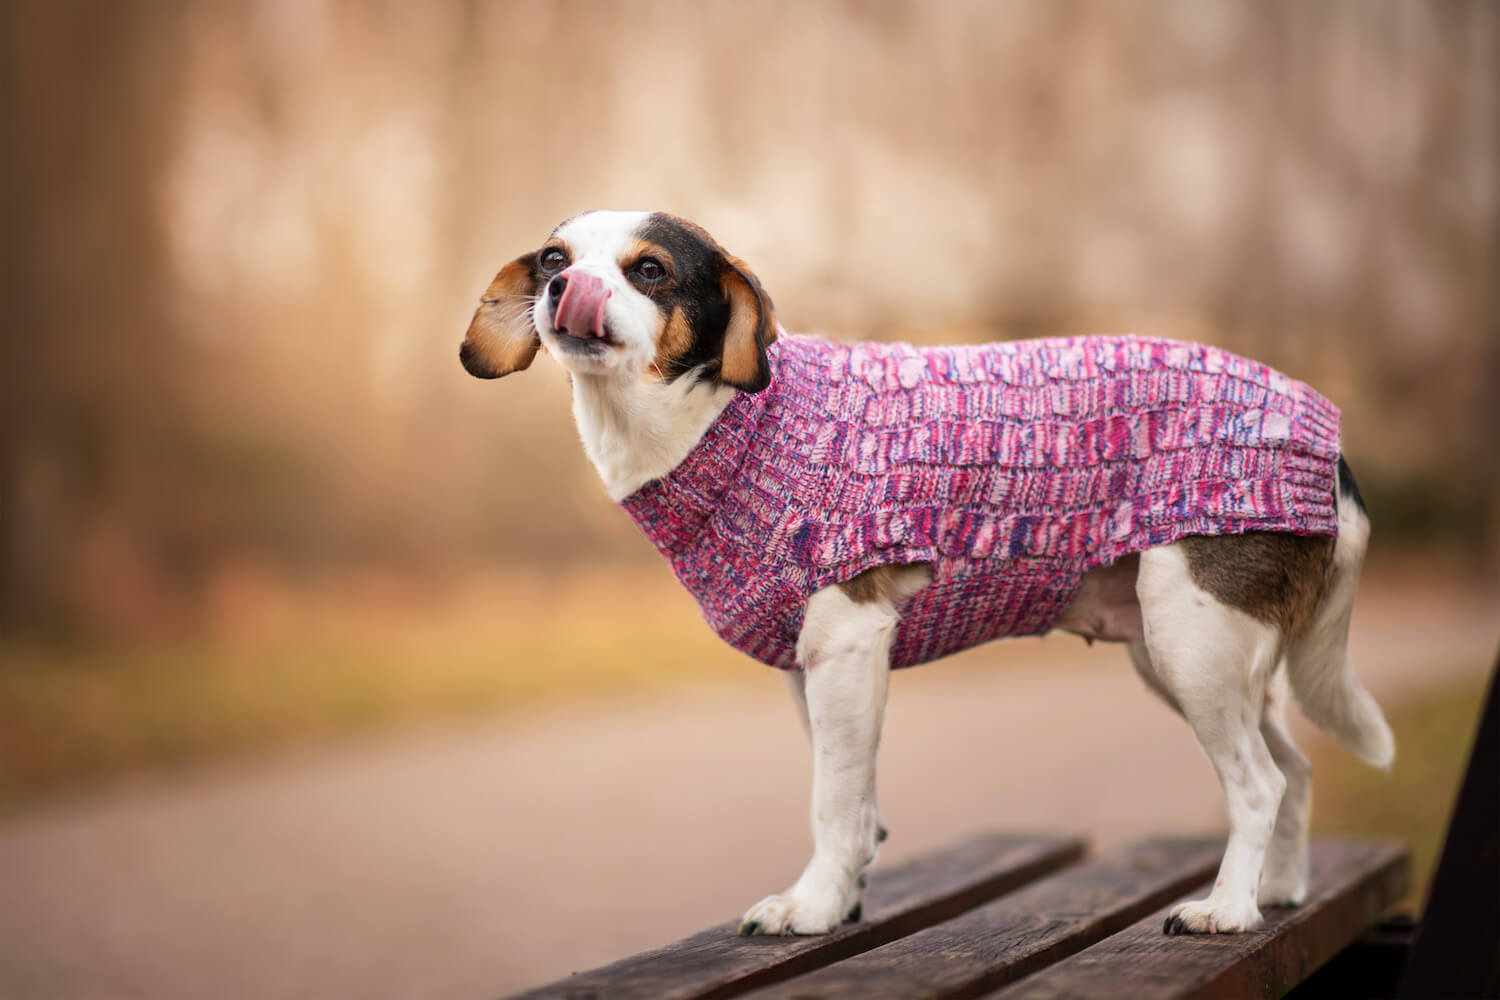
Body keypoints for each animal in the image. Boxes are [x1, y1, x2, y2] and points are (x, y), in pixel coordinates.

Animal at [459, 209, 1392, 941]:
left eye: (648, 269)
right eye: (554, 256)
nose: (562, 287)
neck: (730, 424)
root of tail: (1332, 439)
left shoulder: (845, 647)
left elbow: (832, 805)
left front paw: (809, 907)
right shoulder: (813, 672)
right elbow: (856, 804)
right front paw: (842, 900)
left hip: (1190, 643)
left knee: (1259, 783)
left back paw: (1226, 909)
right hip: (1196, 657)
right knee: (1294, 771)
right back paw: (1278, 893)